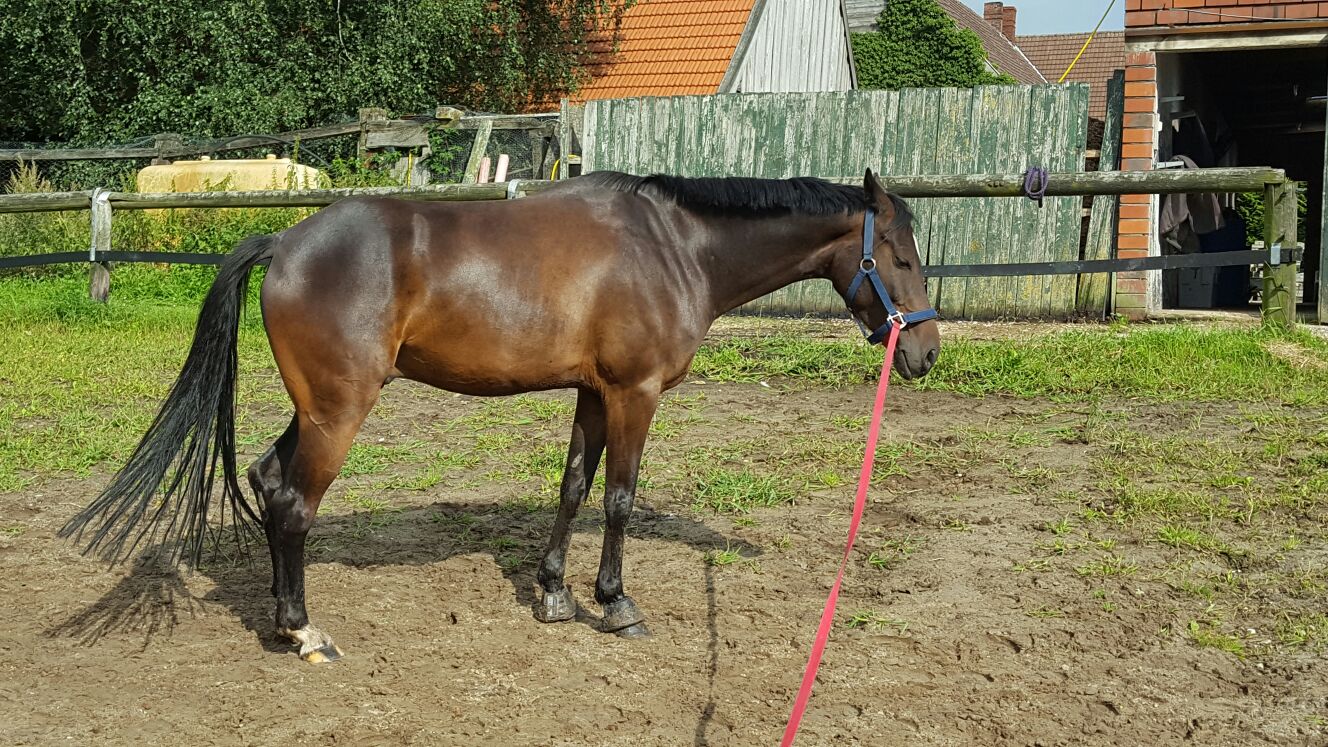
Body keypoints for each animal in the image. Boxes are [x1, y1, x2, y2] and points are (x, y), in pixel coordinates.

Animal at [59, 169, 940, 662]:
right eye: (899, 254)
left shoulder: (593, 392)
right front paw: (615, 604)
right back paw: (302, 629)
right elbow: (618, 499)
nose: (924, 351)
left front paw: (552, 593)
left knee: (270, 481)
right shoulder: (635, 393)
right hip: (340, 410)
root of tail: (285, 240)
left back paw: (283, 619)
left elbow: (574, 489)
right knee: (294, 503)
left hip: (314, 408)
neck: (672, 247)